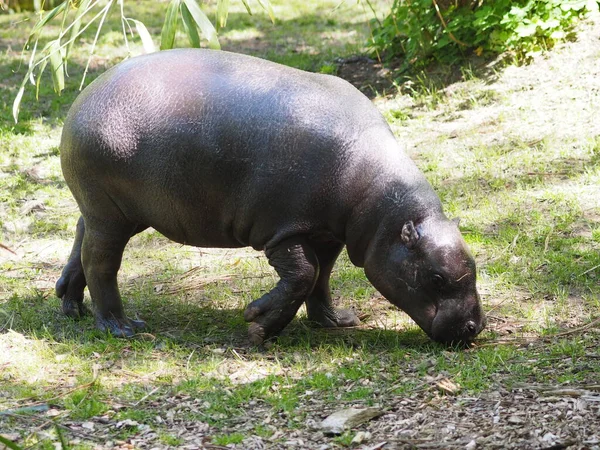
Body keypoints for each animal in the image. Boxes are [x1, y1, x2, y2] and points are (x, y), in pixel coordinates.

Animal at [56, 48, 486, 344]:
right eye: (436, 276)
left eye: (474, 266)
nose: (476, 327)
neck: (380, 208)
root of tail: (81, 100)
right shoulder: (283, 229)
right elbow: (305, 274)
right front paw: (257, 324)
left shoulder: (326, 232)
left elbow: (322, 276)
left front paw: (336, 321)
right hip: (110, 214)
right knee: (101, 262)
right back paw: (122, 327)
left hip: (117, 212)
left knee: (80, 238)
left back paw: (71, 307)